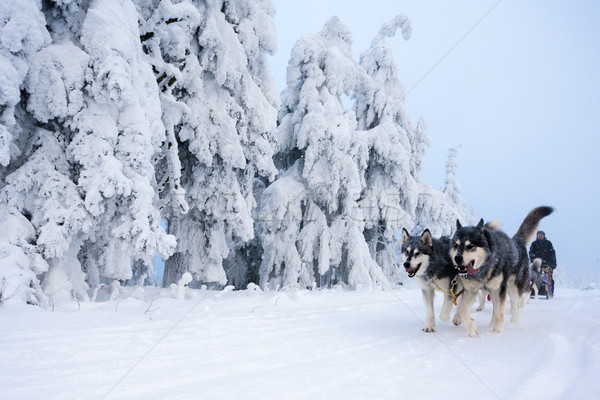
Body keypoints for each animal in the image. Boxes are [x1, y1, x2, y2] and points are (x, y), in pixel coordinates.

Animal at [450, 206, 552, 338]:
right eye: (455, 245)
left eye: (470, 246)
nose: (457, 258)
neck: (484, 267)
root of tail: (516, 241)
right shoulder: (471, 289)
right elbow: (463, 309)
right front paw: (472, 329)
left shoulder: (500, 289)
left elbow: (500, 312)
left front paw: (498, 331)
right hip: (493, 291)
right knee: (495, 308)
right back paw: (491, 323)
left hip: (513, 287)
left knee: (515, 304)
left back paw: (514, 321)